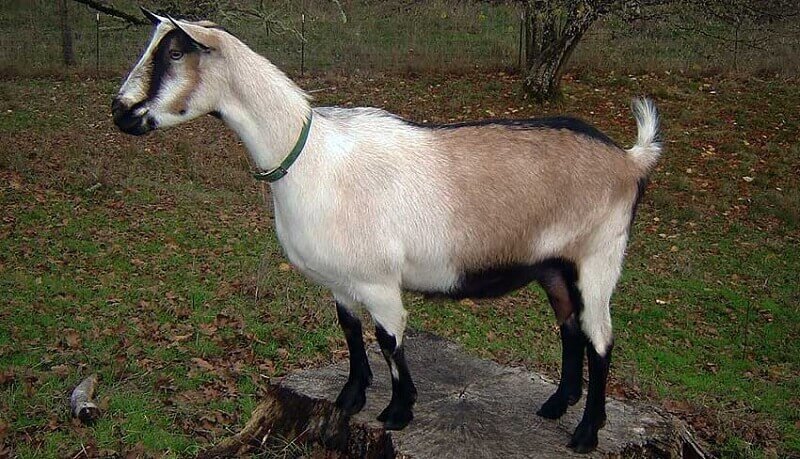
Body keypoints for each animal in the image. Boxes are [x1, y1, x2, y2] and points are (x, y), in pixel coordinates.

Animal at [112, 9, 661, 453]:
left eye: (175, 51)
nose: (121, 111)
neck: (311, 159)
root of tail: (630, 160)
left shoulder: (378, 280)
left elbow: (388, 338)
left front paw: (398, 411)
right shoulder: (340, 280)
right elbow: (351, 332)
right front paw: (350, 397)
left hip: (599, 258)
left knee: (600, 339)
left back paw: (585, 433)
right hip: (553, 265)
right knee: (571, 327)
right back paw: (554, 405)